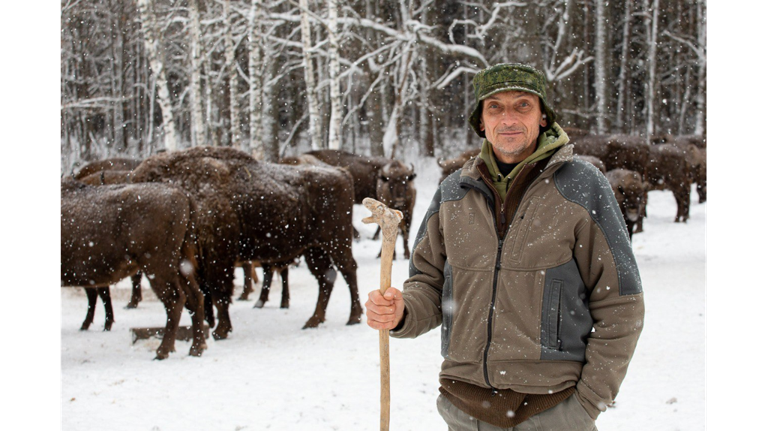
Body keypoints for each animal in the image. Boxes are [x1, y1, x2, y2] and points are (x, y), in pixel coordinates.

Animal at [59, 179, 207, 362]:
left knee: (175, 299)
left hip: (157, 265)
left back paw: (162, 351)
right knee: (195, 296)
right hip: (179, 264)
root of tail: (182, 194)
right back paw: (196, 348)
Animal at [130, 147, 364, 336]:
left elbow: (219, 292)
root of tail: (341, 173)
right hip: (314, 249)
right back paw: (313, 321)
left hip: (336, 243)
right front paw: (211, 325)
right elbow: (207, 294)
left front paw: (221, 331)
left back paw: (353, 317)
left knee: (348, 271)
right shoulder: (199, 263)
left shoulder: (218, 258)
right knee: (326, 278)